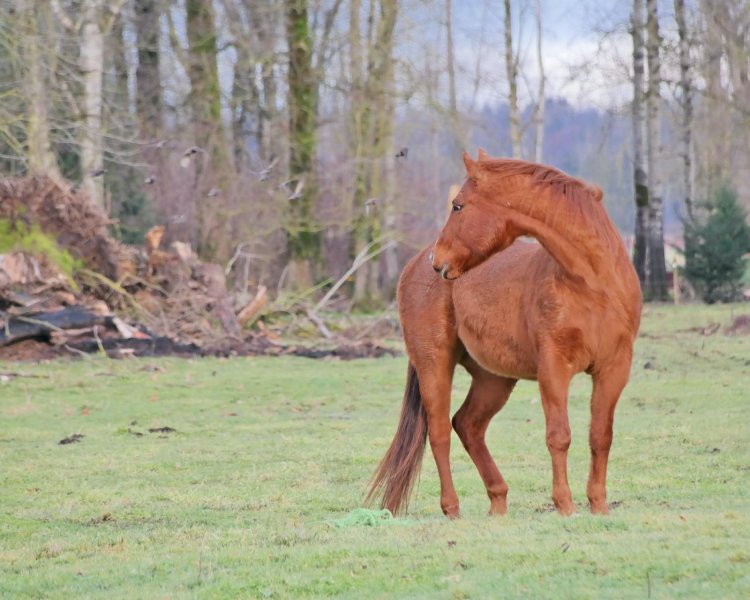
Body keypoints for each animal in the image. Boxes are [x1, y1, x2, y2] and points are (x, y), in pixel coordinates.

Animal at [368, 150, 644, 516]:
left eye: (458, 205)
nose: (437, 261)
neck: (593, 282)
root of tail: (413, 265)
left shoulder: (614, 369)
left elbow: (600, 435)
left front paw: (598, 507)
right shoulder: (553, 368)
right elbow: (559, 436)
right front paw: (565, 506)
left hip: (493, 379)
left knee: (468, 425)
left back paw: (498, 501)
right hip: (434, 364)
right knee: (439, 431)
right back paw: (452, 508)